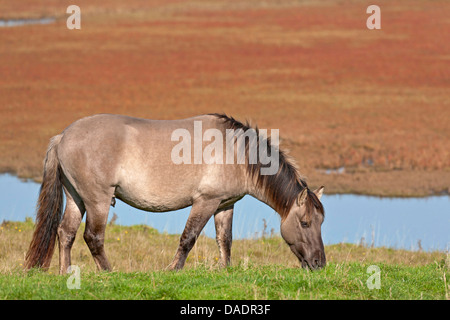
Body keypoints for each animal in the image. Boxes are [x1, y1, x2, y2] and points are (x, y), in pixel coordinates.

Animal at [24, 112, 326, 272]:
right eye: (305, 223)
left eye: (320, 223)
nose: (319, 263)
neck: (237, 154)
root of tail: (63, 136)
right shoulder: (205, 202)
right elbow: (188, 238)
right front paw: (173, 269)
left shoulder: (224, 205)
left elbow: (225, 240)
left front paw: (225, 269)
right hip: (97, 200)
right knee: (93, 237)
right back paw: (108, 273)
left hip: (76, 198)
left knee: (66, 233)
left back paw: (65, 272)